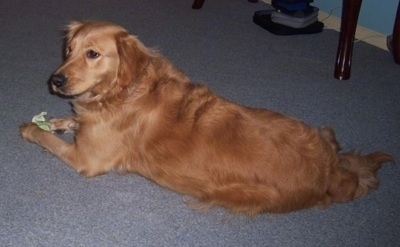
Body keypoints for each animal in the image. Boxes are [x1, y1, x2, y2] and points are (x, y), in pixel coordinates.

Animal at [19, 21, 394, 214]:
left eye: (93, 54)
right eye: (69, 51)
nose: (55, 80)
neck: (123, 90)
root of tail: (330, 171)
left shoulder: (87, 158)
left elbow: (48, 139)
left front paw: (31, 128)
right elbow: (70, 123)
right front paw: (56, 121)